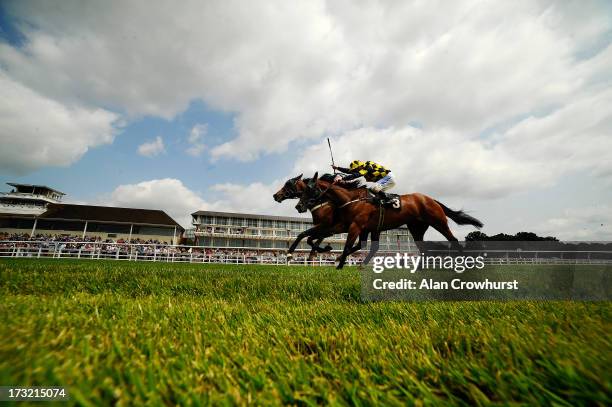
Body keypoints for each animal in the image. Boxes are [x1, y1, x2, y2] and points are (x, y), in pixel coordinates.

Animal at [296, 174, 482, 270]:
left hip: (438, 222)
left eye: (310, 189)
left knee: (453, 239)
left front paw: (339, 264)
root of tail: (430, 199)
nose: (299, 206)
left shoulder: (356, 226)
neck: (351, 199)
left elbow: (349, 246)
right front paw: (334, 256)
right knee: (423, 247)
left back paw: (466, 264)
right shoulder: (358, 227)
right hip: (416, 228)